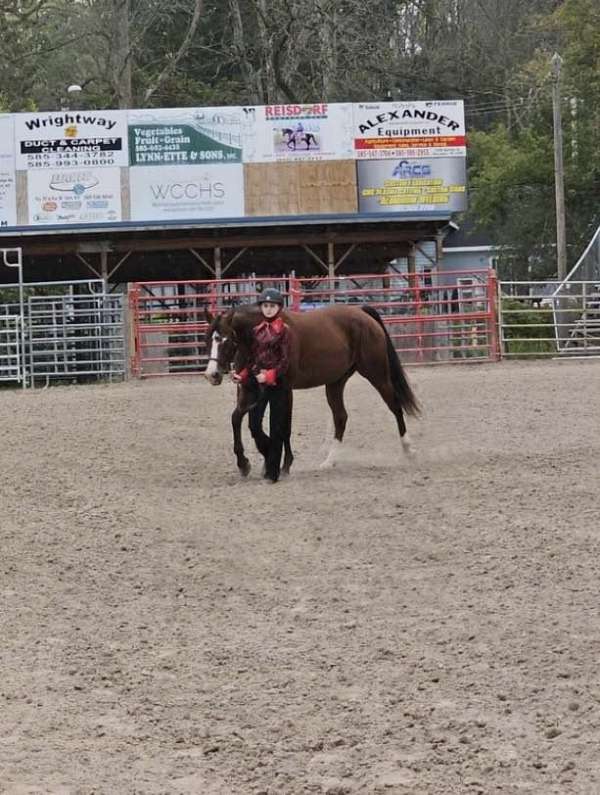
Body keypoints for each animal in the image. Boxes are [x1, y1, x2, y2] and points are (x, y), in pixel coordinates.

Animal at [204, 304, 420, 478]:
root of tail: (362, 313)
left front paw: (284, 465)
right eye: (208, 340)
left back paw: (409, 451)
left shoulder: (285, 389)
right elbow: (238, 420)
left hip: (377, 374)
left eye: (226, 340)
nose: (212, 374)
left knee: (395, 406)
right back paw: (329, 461)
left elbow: (284, 427)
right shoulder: (249, 390)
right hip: (335, 383)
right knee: (341, 417)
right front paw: (246, 463)